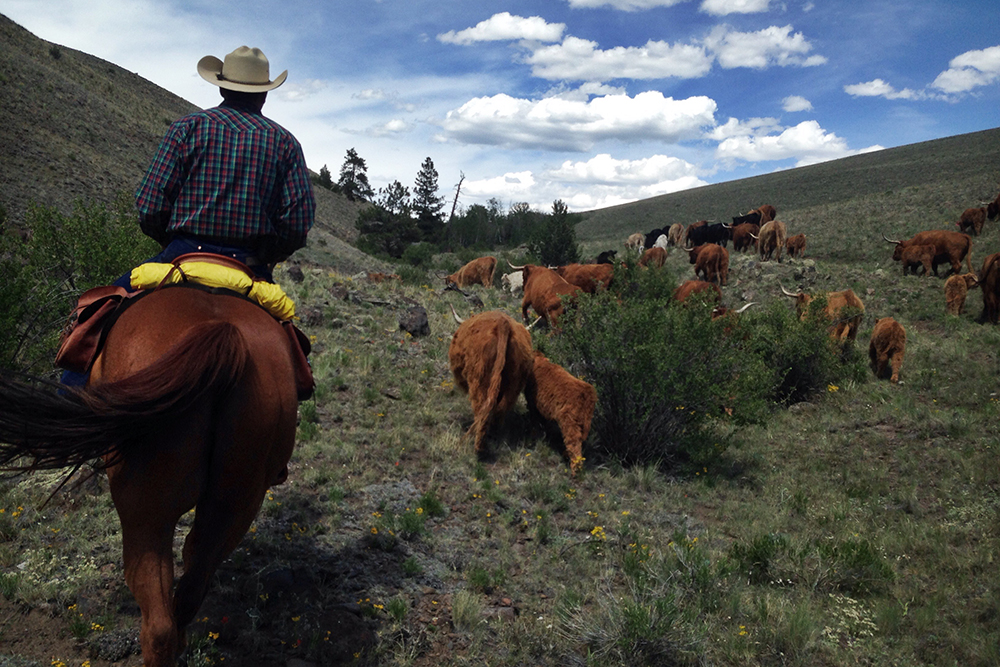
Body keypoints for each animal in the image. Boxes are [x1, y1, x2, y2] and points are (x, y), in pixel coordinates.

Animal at [448, 309, 534, 455]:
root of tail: (503, 324)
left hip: (479, 379)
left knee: (481, 407)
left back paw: (479, 446)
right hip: (514, 384)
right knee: (500, 408)